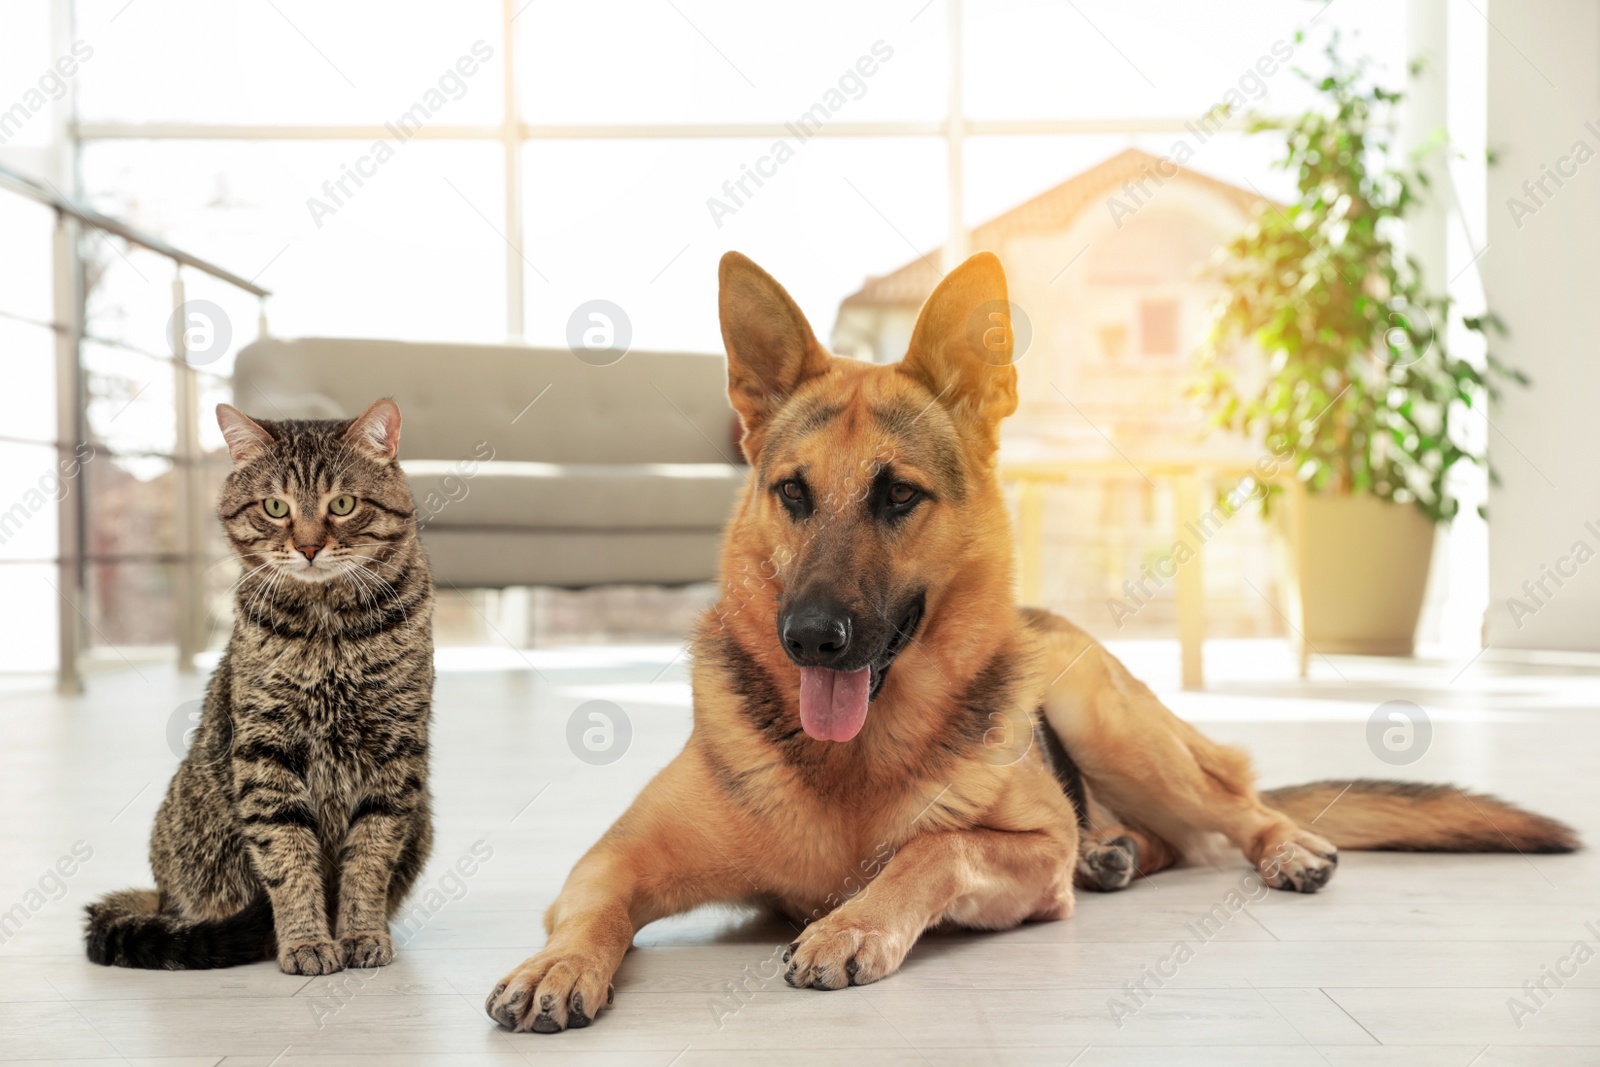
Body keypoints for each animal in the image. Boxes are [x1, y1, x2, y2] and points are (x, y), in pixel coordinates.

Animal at [84, 399, 435, 979]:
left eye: (342, 504)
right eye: (275, 507)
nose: (309, 547)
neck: (328, 631)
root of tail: (161, 895)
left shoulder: (396, 754)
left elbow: (370, 857)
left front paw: (361, 933)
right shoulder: (264, 751)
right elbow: (288, 856)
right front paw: (307, 940)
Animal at [480, 251, 1580, 1036]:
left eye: (896, 495)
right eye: (791, 492)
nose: (810, 639)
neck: (851, 767)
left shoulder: (1024, 852)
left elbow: (933, 847)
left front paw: (854, 921)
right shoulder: (614, 855)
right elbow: (593, 906)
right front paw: (554, 965)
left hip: (1109, 722)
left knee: (1237, 805)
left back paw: (1278, 847)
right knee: (1173, 837)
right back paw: (1119, 853)